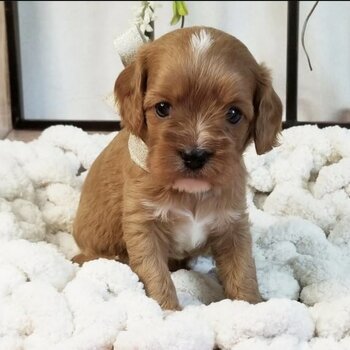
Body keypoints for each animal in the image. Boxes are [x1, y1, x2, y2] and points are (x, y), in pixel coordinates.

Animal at [72, 28, 284, 312]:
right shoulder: (143, 224)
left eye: (233, 113)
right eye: (162, 108)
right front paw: (168, 313)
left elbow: (243, 270)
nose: (194, 156)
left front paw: (251, 306)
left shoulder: (232, 223)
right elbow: (155, 274)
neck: (191, 193)